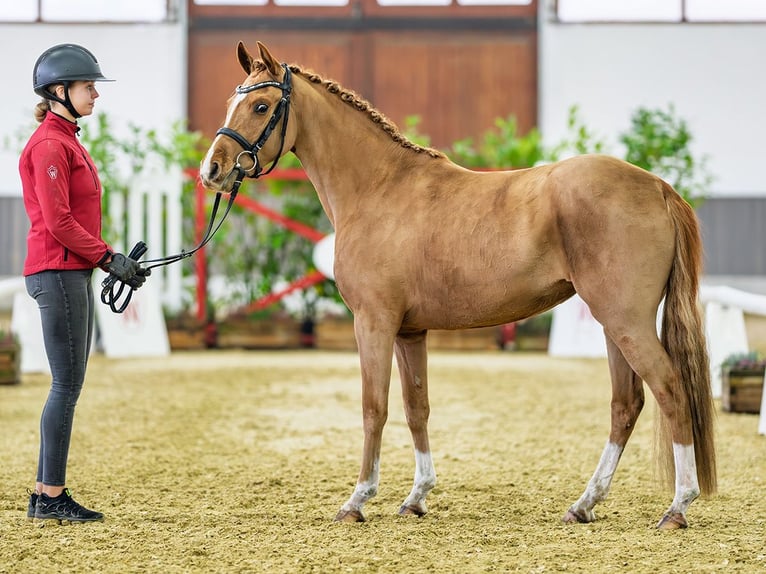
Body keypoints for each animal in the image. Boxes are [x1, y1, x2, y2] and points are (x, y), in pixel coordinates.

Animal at [201, 42, 716, 532]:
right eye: (230, 102)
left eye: (262, 106)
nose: (213, 170)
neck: (379, 189)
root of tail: (658, 187)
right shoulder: (410, 332)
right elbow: (416, 406)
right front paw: (416, 498)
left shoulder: (373, 322)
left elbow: (374, 407)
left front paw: (357, 500)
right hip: (613, 324)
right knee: (626, 404)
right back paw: (584, 505)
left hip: (626, 321)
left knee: (671, 389)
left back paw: (677, 507)